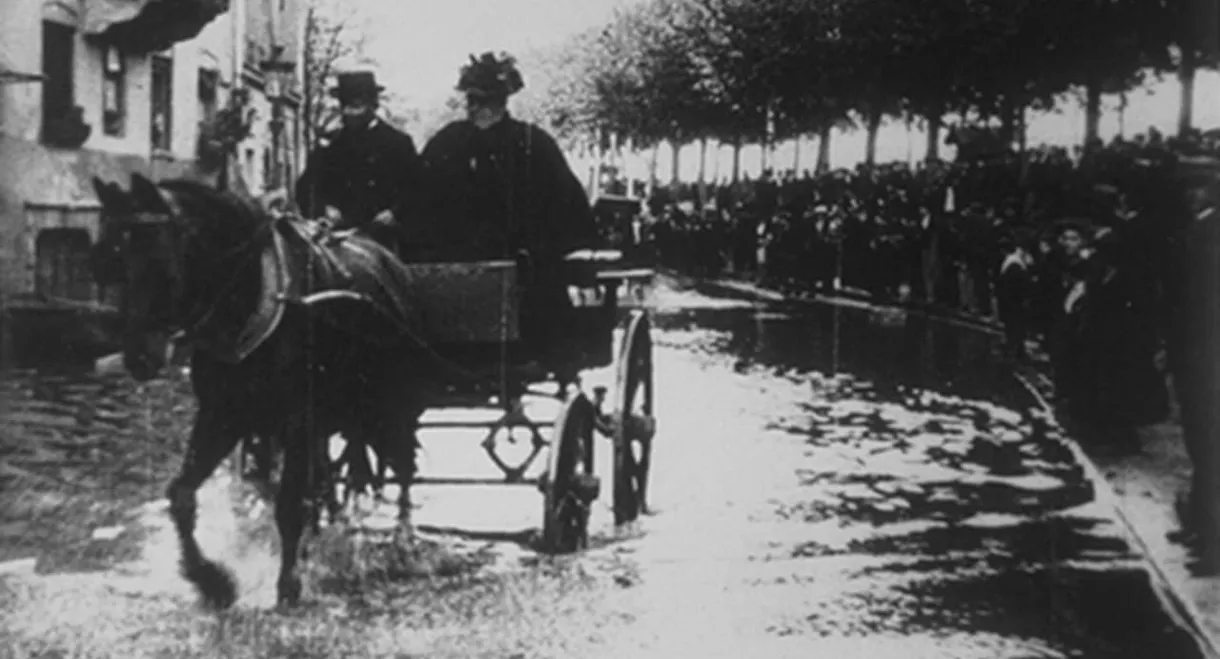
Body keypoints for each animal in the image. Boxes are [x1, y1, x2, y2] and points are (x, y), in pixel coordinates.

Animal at [89, 173, 429, 607]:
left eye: (161, 267)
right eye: (108, 266)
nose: (139, 357)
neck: (254, 303)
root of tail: (389, 257)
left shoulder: (298, 419)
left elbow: (287, 507)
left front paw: (289, 584)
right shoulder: (222, 414)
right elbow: (181, 495)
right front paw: (212, 580)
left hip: (393, 404)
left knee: (404, 464)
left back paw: (403, 540)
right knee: (333, 478)